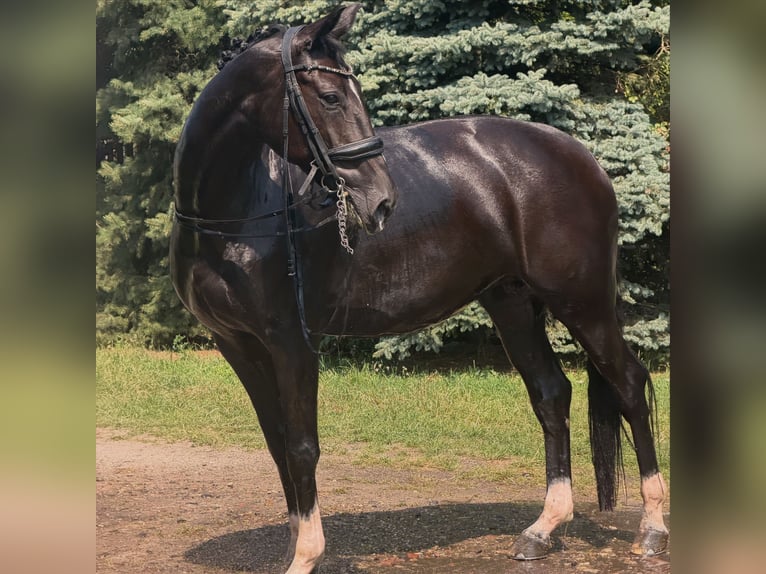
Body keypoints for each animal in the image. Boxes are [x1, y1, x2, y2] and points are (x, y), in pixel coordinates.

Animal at [170, 4, 668, 572]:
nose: (381, 200)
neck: (237, 212)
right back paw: (542, 530)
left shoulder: (292, 341)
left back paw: (652, 528)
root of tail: (581, 157)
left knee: (629, 384)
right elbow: (277, 443)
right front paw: (295, 544)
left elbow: (301, 446)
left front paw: (307, 554)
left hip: (583, 303)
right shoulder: (238, 344)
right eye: (331, 96)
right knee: (551, 393)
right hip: (513, 304)